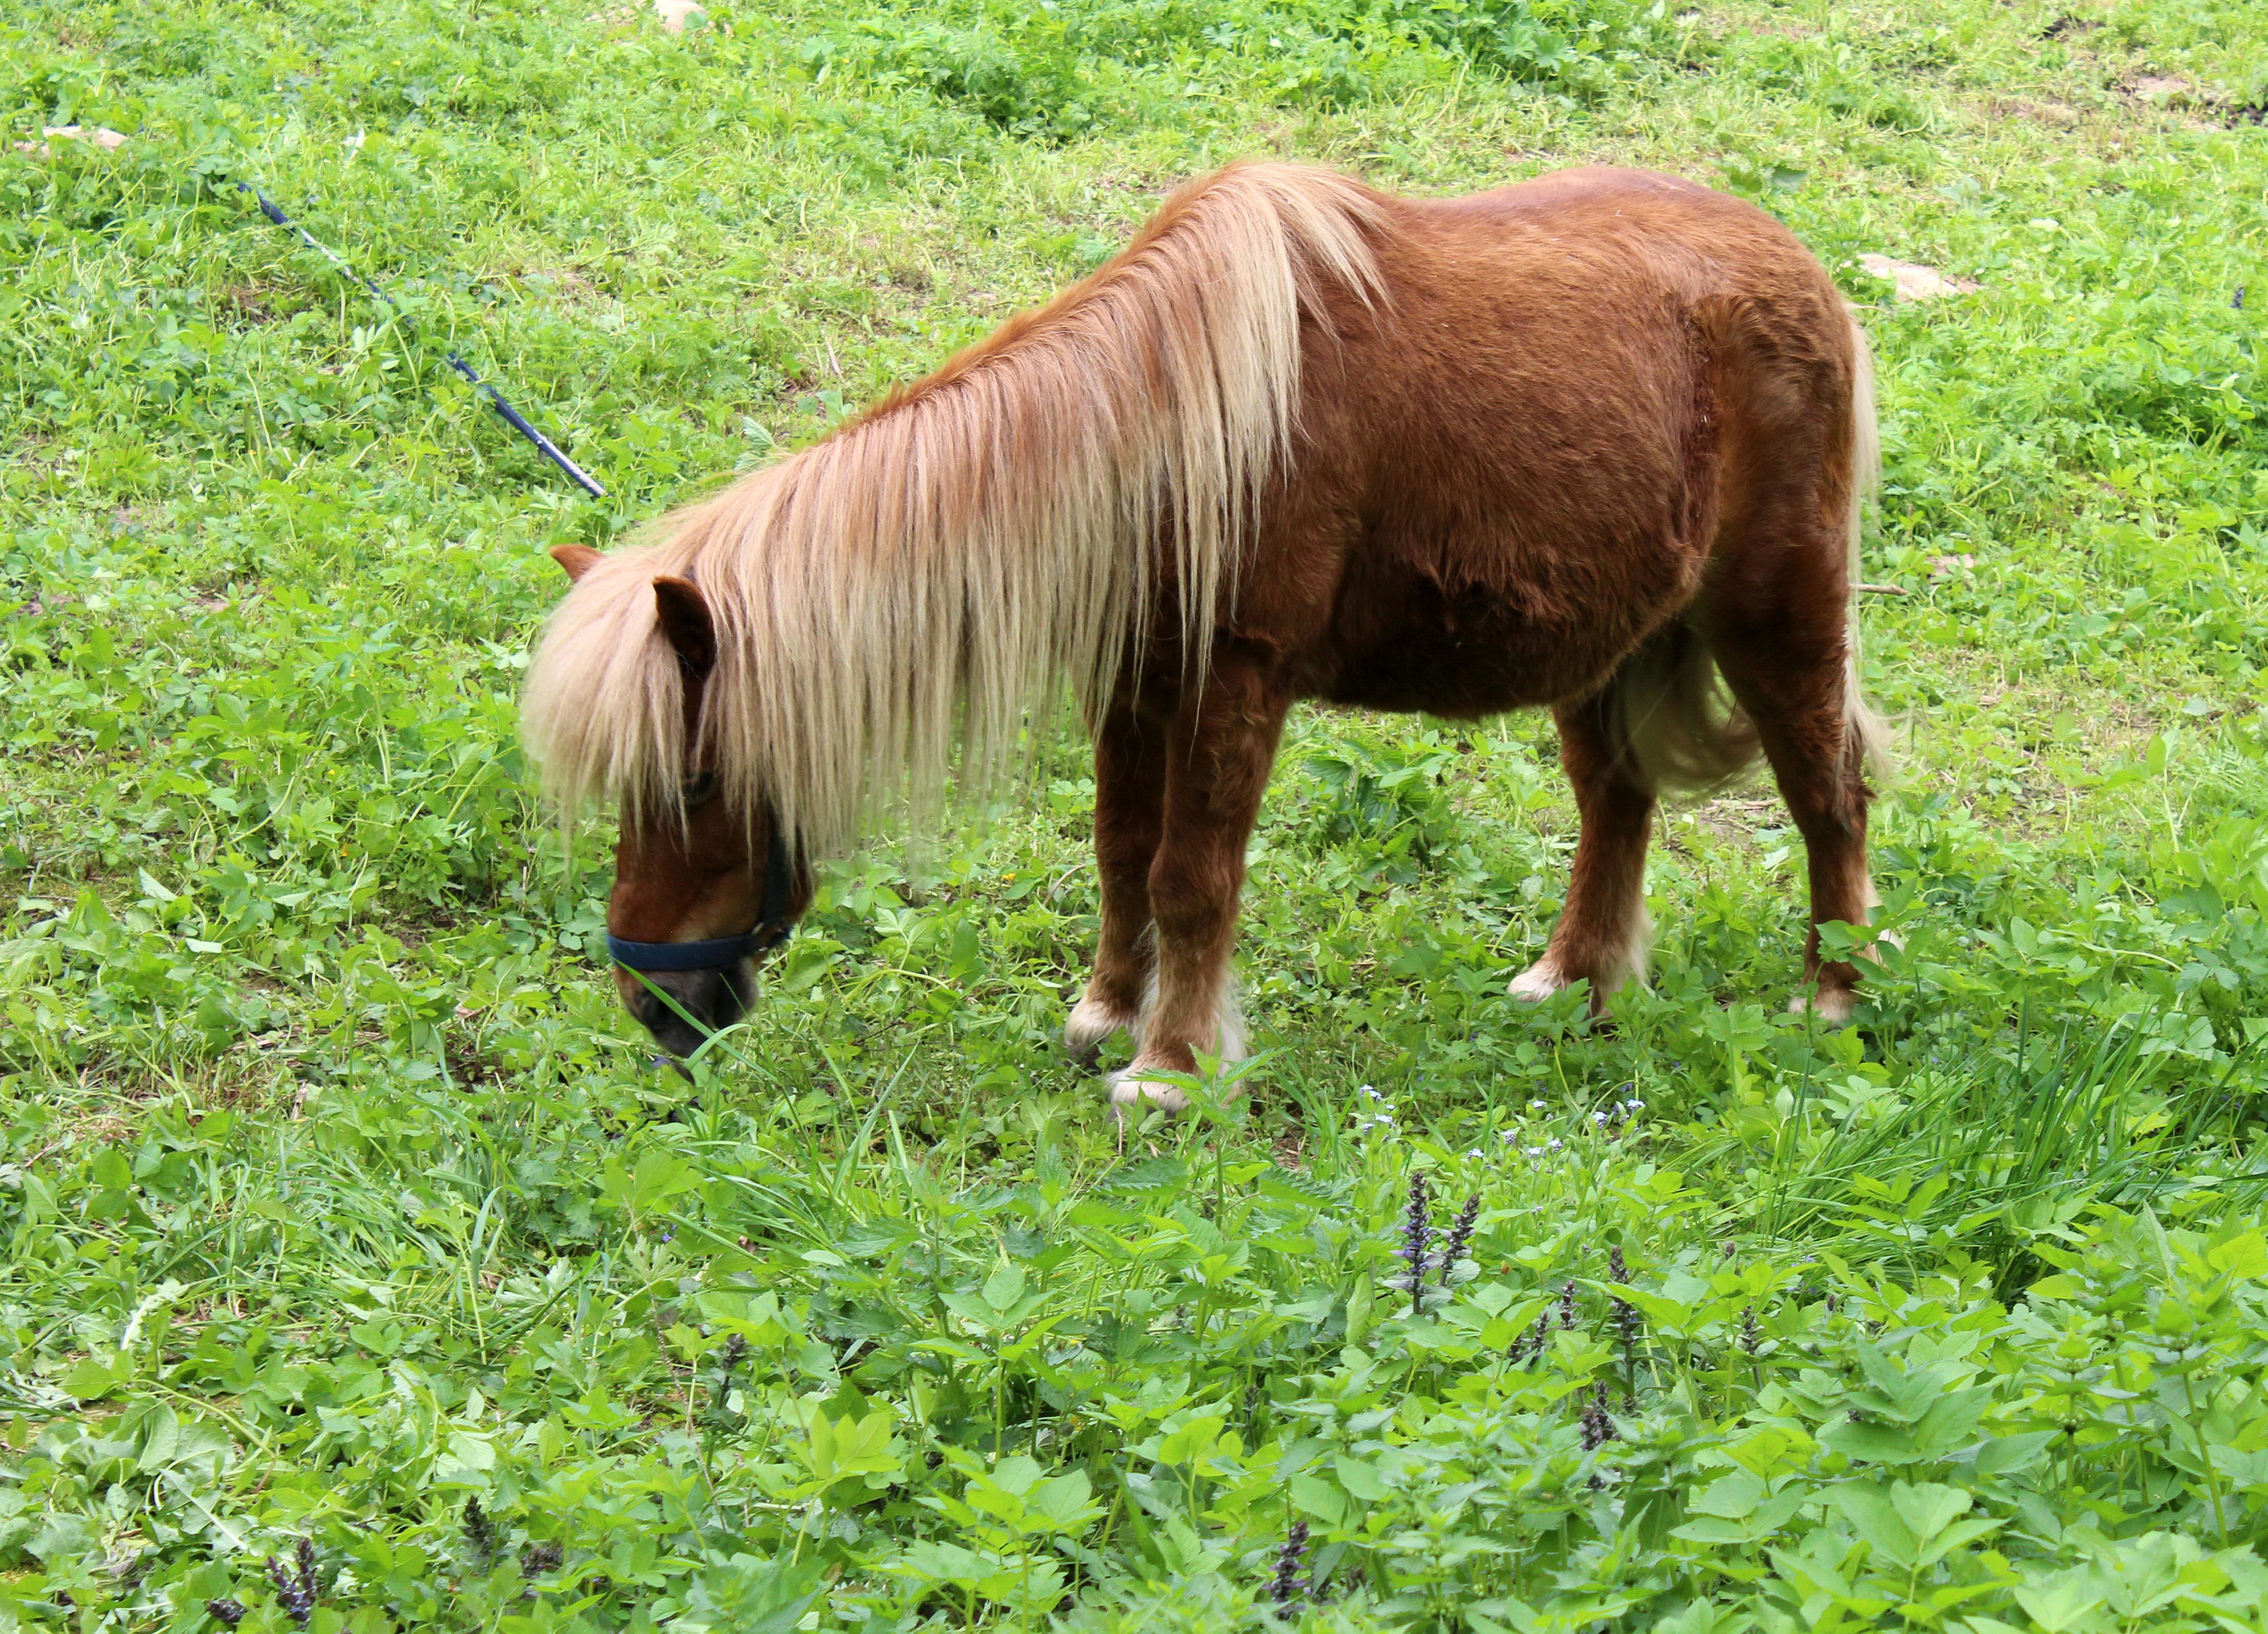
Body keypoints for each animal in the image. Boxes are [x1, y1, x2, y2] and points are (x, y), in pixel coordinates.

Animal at [522, 160, 1887, 1112]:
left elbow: (1192, 876)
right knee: (1616, 803)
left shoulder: (1238, 679)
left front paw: (1172, 1067)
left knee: (1829, 796)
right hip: (1605, 646)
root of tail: (1796, 269)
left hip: (1776, 616)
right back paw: (1577, 981)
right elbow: (1123, 851)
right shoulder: (1137, 678)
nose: (651, 1003)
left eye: (698, 780)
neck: (1168, 437)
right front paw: (1105, 1015)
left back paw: (1833, 997)